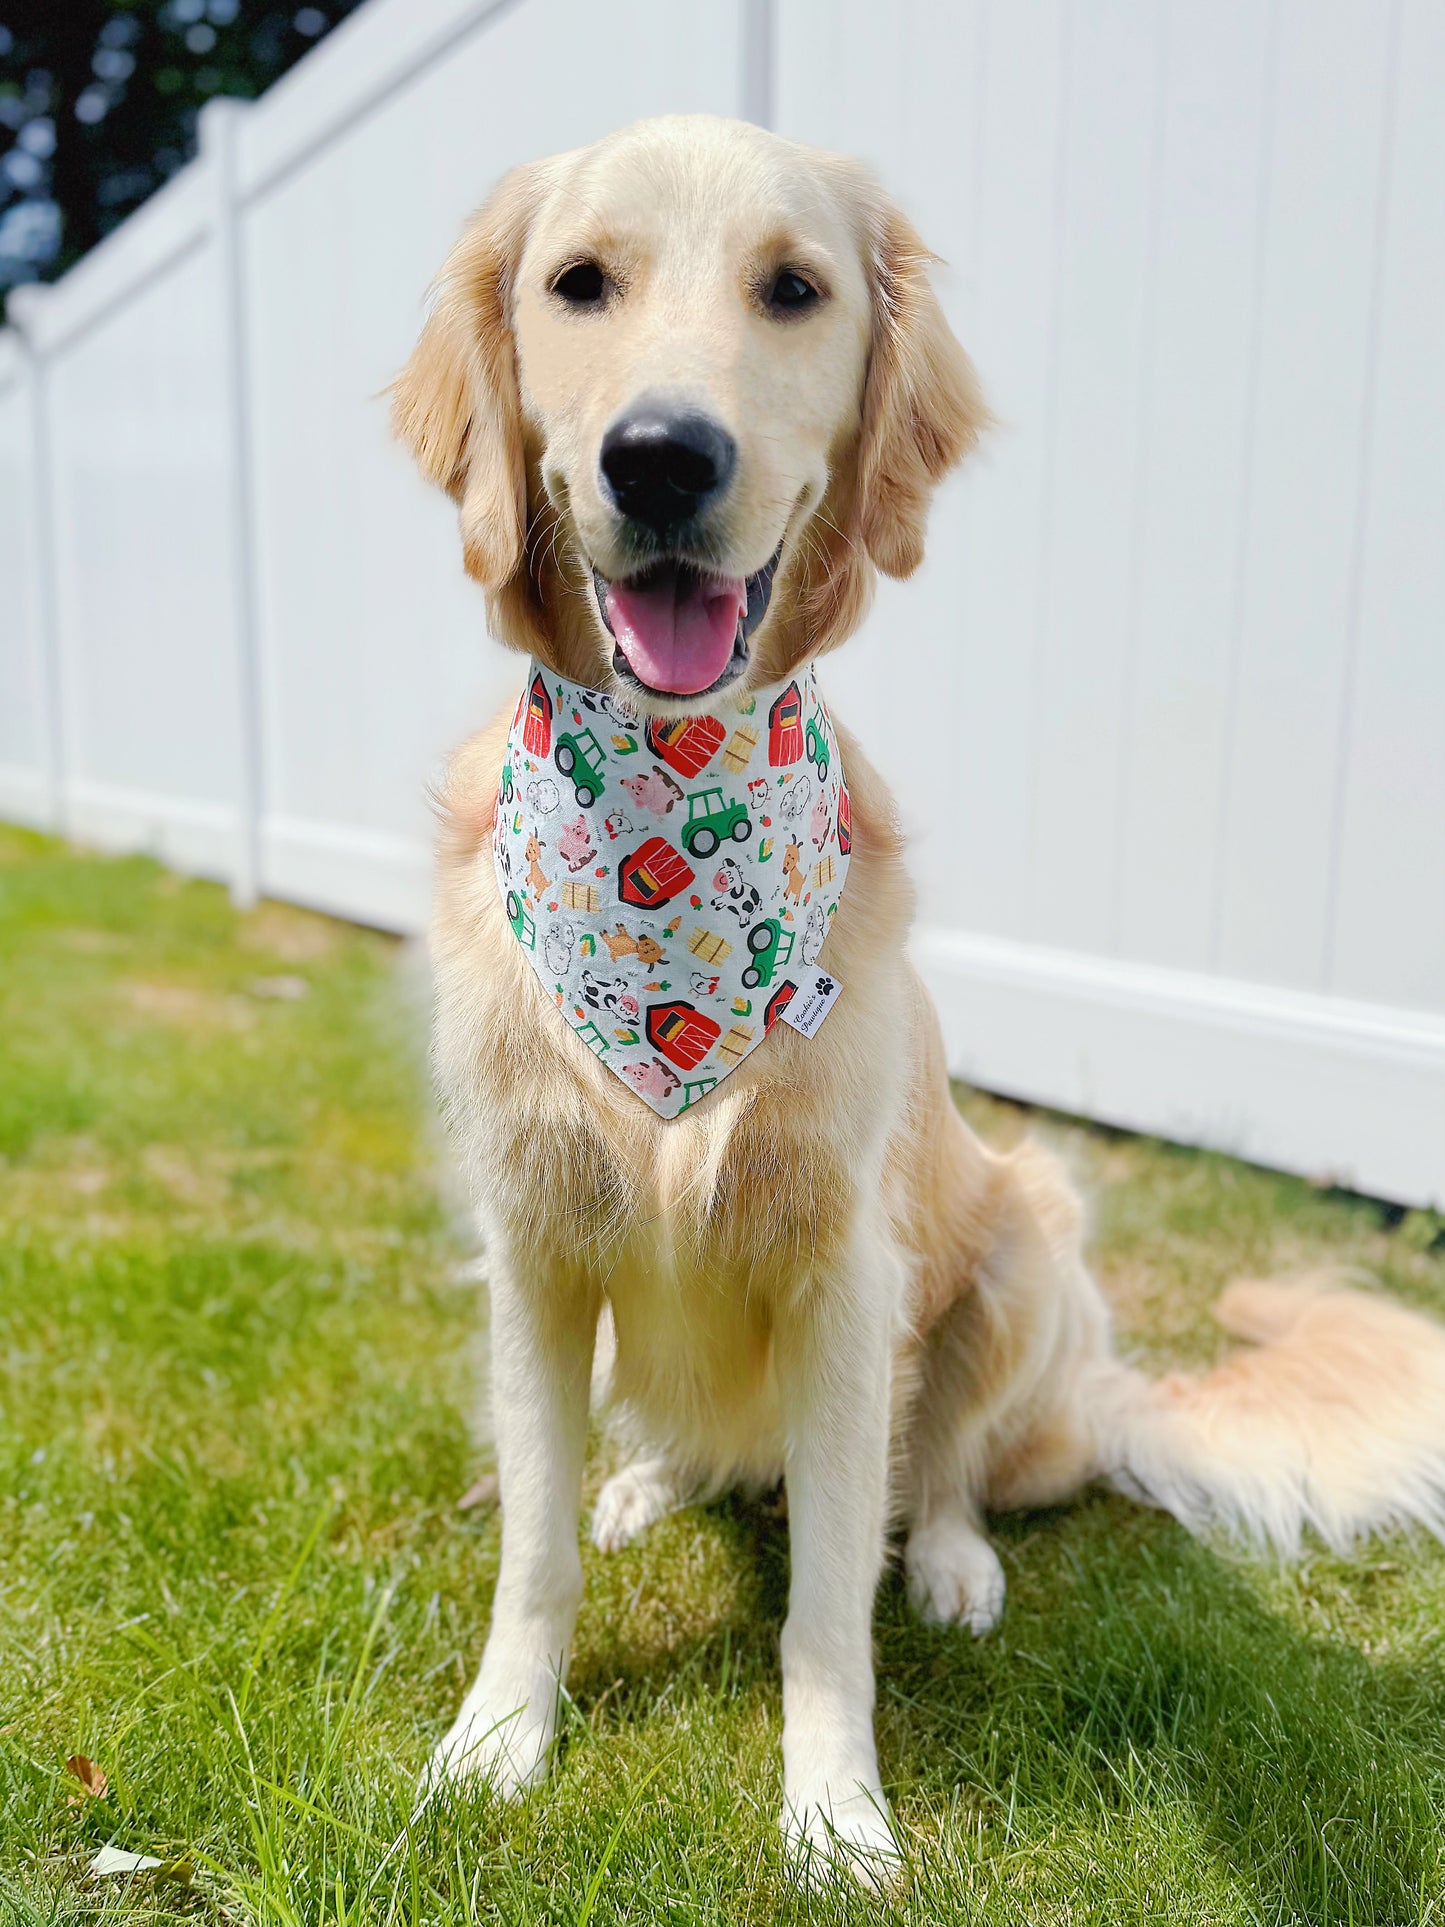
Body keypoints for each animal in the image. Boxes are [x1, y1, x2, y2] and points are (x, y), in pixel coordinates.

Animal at [391, 116, 1445, 1880]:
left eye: (792, 289)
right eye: (578, 283)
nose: (659, 459)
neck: (670, 810)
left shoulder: (846, 1281)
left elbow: (831, 1593)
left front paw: (833, 1812)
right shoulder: (532, 1252)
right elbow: (531, 1547)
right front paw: (493, 1741)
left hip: (1026, 1238)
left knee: (943, 1469)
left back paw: (955, 1561)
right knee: (679, 1442)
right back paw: (652, 1480)